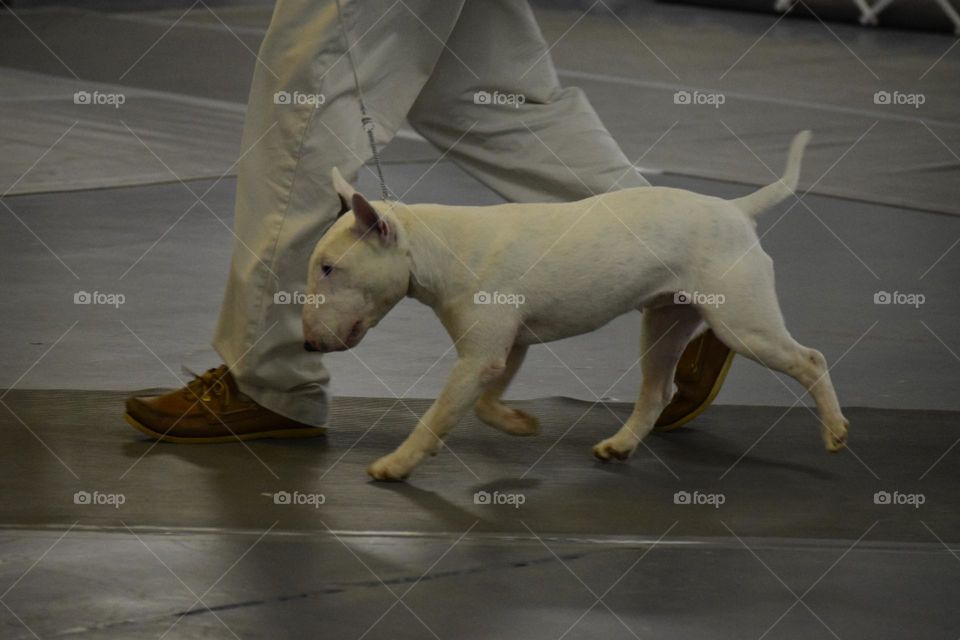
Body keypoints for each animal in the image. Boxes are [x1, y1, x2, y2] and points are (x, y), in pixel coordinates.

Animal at [302, 131, 848, 480]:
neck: (437, 247)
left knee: (810, 359)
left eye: (328, 267)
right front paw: (520, 424)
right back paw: (620, 446)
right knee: (657, 390)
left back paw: (836, 431)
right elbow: (483, 402)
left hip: (743, 322)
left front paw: (395, 465)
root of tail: (736, 210)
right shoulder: (507, 347)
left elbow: (438, 414)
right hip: (665, 319)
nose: (307, 342)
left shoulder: (481, 356)